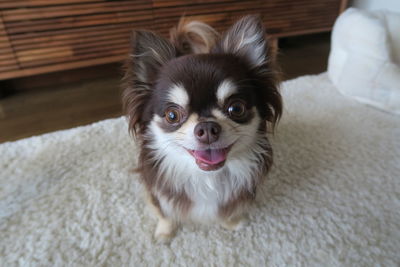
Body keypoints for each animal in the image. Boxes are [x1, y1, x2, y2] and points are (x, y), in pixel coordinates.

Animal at [122, 15, 282, 244]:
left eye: (236, 108)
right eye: (172, 115)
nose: (207, 127)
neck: (206, 178)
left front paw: (232, 223)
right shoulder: (156, 190)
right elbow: (164, 212)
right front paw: (164, 233)